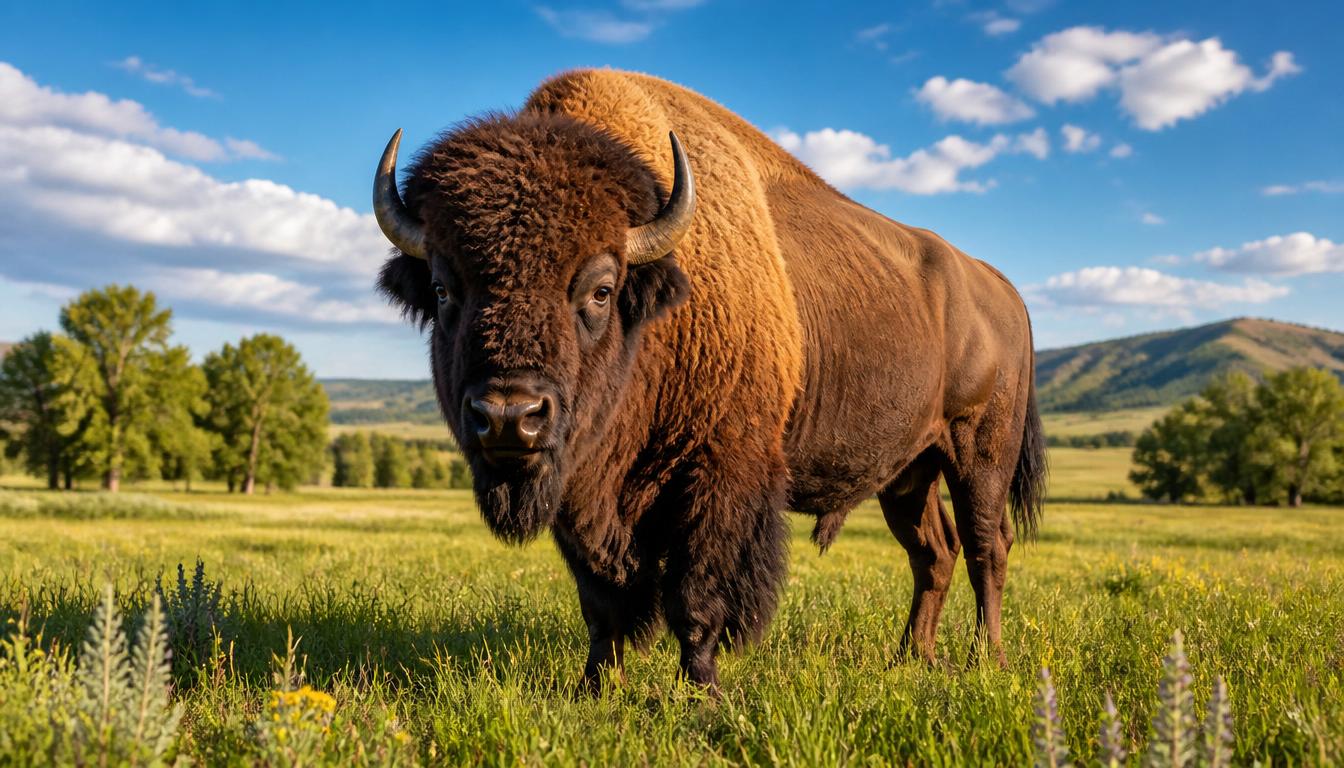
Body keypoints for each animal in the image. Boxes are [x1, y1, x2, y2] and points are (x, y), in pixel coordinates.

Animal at [374, 70, 1046, 693]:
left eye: (601, 289)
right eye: (443, 289)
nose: (510, 417)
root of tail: (1002, 289)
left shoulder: (719, 473)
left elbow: (696, 598)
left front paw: (703, 695)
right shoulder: (581, 491)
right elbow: (603, 603)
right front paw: (595, 688)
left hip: (979, 452)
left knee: (987, 546)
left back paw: (987, 661)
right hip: (909, 472)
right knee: (933, 551)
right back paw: (911, 659)